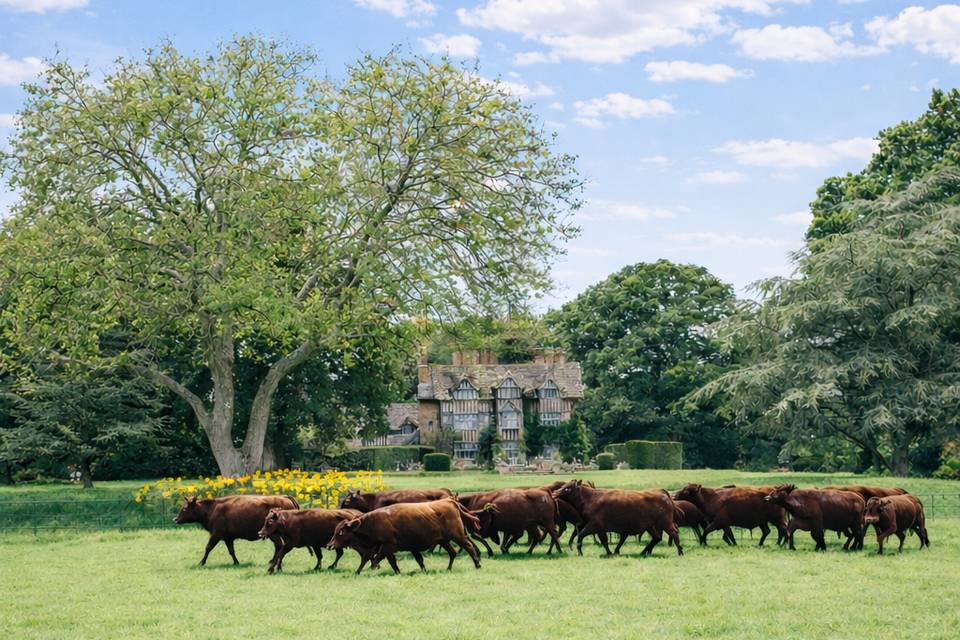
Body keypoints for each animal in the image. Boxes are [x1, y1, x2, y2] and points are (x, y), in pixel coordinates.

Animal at [327, 498, 483, 574]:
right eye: (335, 531)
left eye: (340, 532)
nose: (330, 545)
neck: (372, 523)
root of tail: (449, 501)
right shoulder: (381, 547)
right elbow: (370, 559)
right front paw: (358, 572)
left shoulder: (388, 545)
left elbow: (376, 559)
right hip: (444, 540)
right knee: (453, 552)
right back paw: (448, 569)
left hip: (458, 536)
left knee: (469, 546)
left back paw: (477, 564)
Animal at [553, 480, 683, 557]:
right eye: (563, 486)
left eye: (567, 488)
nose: (554, 493)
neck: (591, 499)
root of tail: (664, 494)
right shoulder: (601, 529)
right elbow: (605, 541)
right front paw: (611, 552)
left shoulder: (595, 525)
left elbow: (582, 536)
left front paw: (580, 552)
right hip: (651, 526)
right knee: (656, 538)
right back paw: (643, 552)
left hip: (665, 523)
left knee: (674, 533)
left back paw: (680, 551)